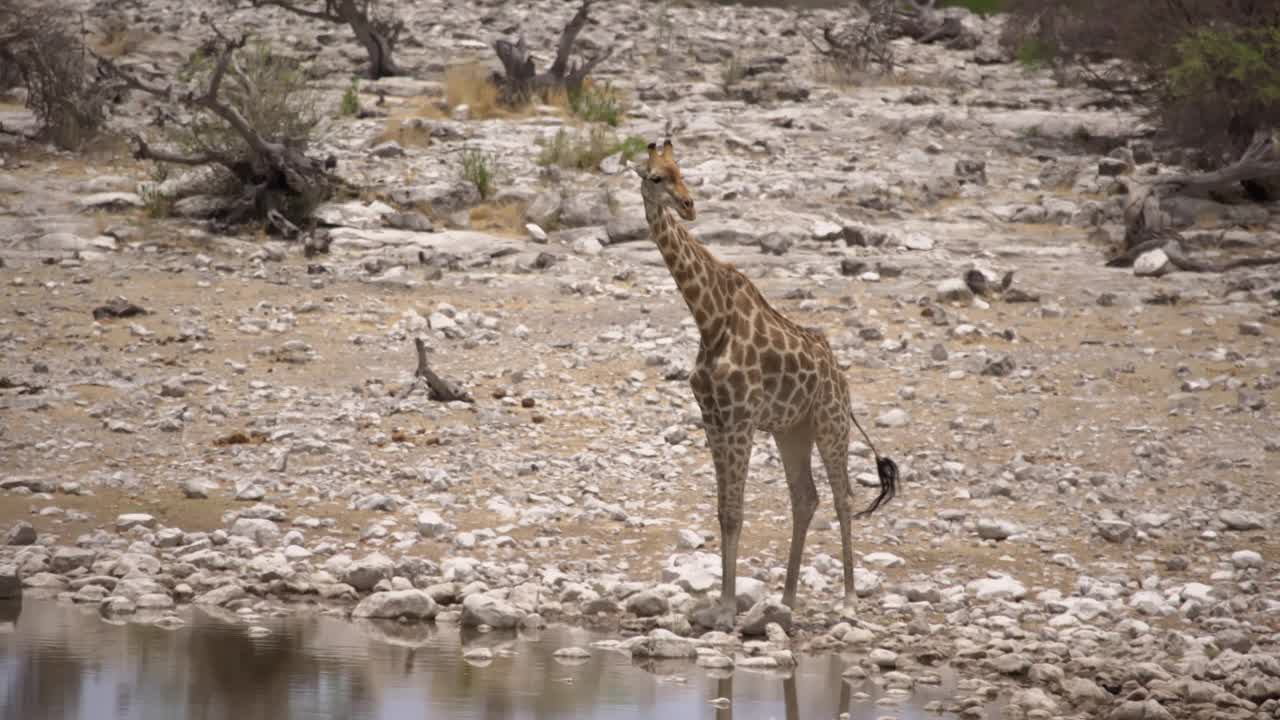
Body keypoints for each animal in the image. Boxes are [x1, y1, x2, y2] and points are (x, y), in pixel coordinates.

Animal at [634, 139, 896, 627]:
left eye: (684, 173)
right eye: (657, 177)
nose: (689, 205)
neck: (709, 318)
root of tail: (842, 379)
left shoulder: (740, 419)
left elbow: (736, 513)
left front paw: (725, 612)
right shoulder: (714, 419)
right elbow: (724, 512)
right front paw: (721, 606)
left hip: (831, 423)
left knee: (842, 497)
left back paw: (849, 600)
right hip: (792, 430)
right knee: (806, 498)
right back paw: (787, 599)